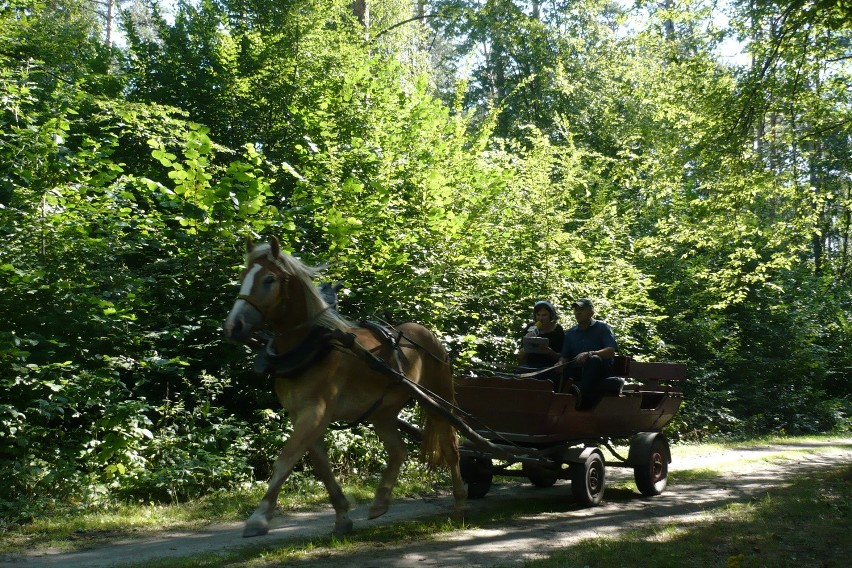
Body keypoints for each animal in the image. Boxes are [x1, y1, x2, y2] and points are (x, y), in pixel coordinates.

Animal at [223, 235, 466, 536]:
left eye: (269, 279)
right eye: (242, 276)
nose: (233, 326)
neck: (309, 348)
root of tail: (428, 334)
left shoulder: (316, 412)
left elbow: (285, 459)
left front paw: (258, 517)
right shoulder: (301, 414)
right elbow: (321, 466)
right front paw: (342, 517)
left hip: (436, 401)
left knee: (451, 448)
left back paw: (460, 503)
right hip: (383, 412)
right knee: (398, 450)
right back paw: (380, 502)